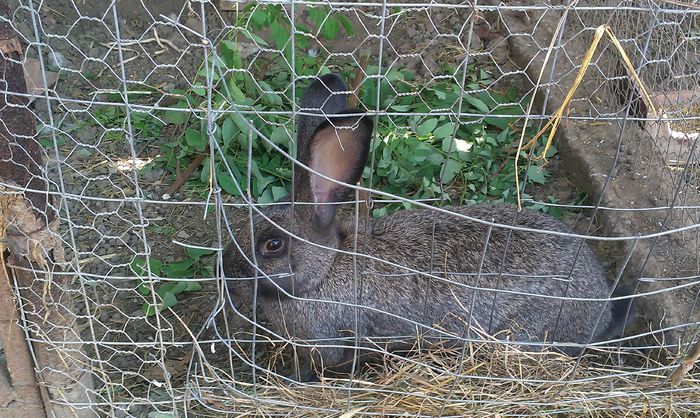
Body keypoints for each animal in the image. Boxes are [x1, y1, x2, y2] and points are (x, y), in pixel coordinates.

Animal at [223, 72, 624, 382]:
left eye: (273, 245)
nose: (226, 269)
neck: (325, 270)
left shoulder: (330, 341)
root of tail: (601, 309)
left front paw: (294, 379)